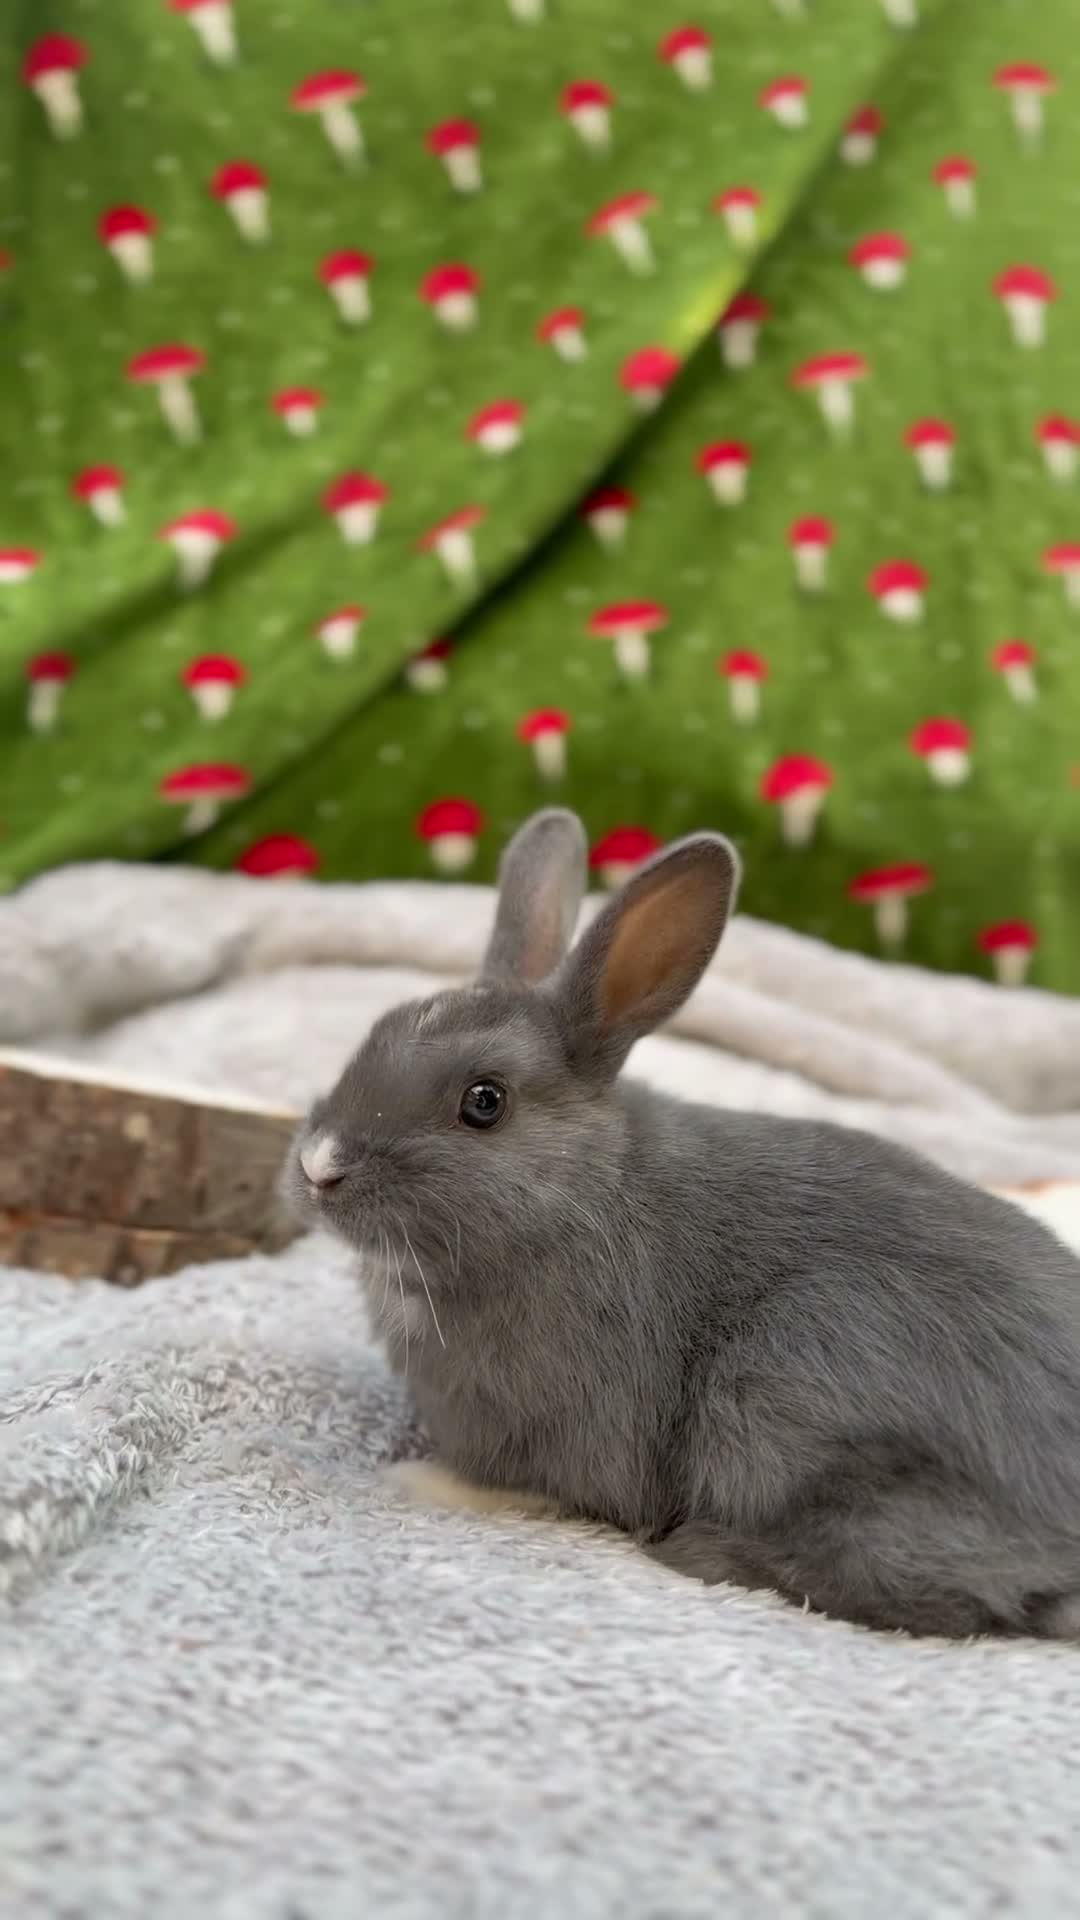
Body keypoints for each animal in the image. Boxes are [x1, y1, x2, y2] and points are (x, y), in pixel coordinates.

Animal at [286, 808, 1080, 1640]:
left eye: (485, 1102)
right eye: (374, 1033)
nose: (318, 1165)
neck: (582, 1190)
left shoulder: (572, 1435)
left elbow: (525, 1493)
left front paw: (416, 1481)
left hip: (779, 1396)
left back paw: (699, 1552)